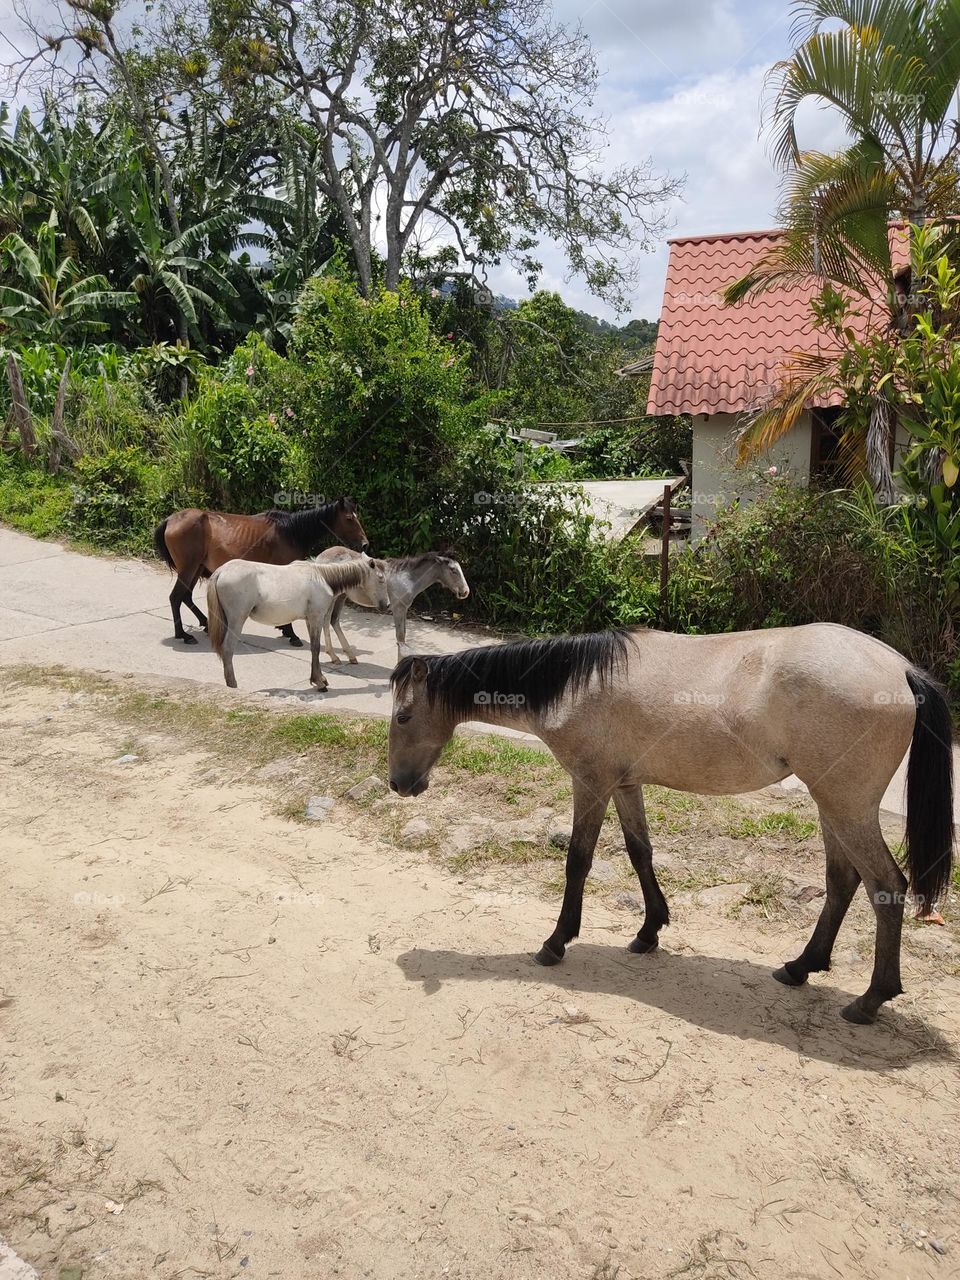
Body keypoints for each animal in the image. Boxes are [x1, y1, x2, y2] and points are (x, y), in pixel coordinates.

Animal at [153, 499, 369, 646]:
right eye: (349, 519)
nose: (365, 543)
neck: (290, 532)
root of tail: (171, 520)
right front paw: (291, 633)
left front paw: (285, 630)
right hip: (189, 568)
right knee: (176, 597)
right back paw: (183, 634)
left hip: (196, 568)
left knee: (185, 597)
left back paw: (205, 623)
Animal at [206, 555, 390, 690]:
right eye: (381, 579)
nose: (386, 605)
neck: (323, 577)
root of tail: (221, 571)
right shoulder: (316, 618)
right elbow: (316, 648)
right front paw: (319, 682)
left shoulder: (310, 620)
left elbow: (314, 649)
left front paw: (319, 678)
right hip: (236, 620)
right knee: (227, 649)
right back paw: (232, 685)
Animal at [315, 547, 470, 664]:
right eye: (453, 570)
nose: (465, 592)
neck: (408, 578)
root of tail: (319, 557)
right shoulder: (398, 608)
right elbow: (400, 637)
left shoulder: (404, 608)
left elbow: (404, 635)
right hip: (332, 597)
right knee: (326, 620)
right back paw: (334, 656)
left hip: (342, 596)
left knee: (334, 620)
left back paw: (350, 656)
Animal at [387, 623, 955, 1026]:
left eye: (403, 717)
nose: (399, 784)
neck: (575, 683)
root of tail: (901, 670)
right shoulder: (624, 784)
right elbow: (640, 852)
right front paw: (649, 931)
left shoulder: (591, 783)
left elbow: (578, 861)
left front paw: (556, 942)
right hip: (832, 805)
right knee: (843, 880)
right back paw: (799, 967)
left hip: (845, 805)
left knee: (885, 886)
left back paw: (870, 1000)